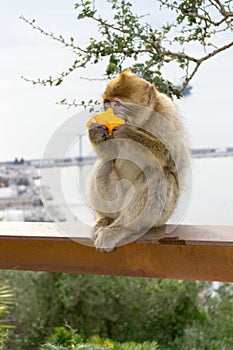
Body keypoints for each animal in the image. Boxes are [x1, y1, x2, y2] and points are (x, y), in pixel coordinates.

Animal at [88, 69, 189, 252]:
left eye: (118, 103)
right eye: (107, 103)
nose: (109, 112)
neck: (142, 122)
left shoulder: (166, 113)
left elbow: (173, 159)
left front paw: (128, 133)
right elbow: (110, 155)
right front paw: (95, 131)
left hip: (161, 217)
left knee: (158, 173)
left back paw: (122, 228)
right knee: (104, 165)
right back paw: (107, 219)